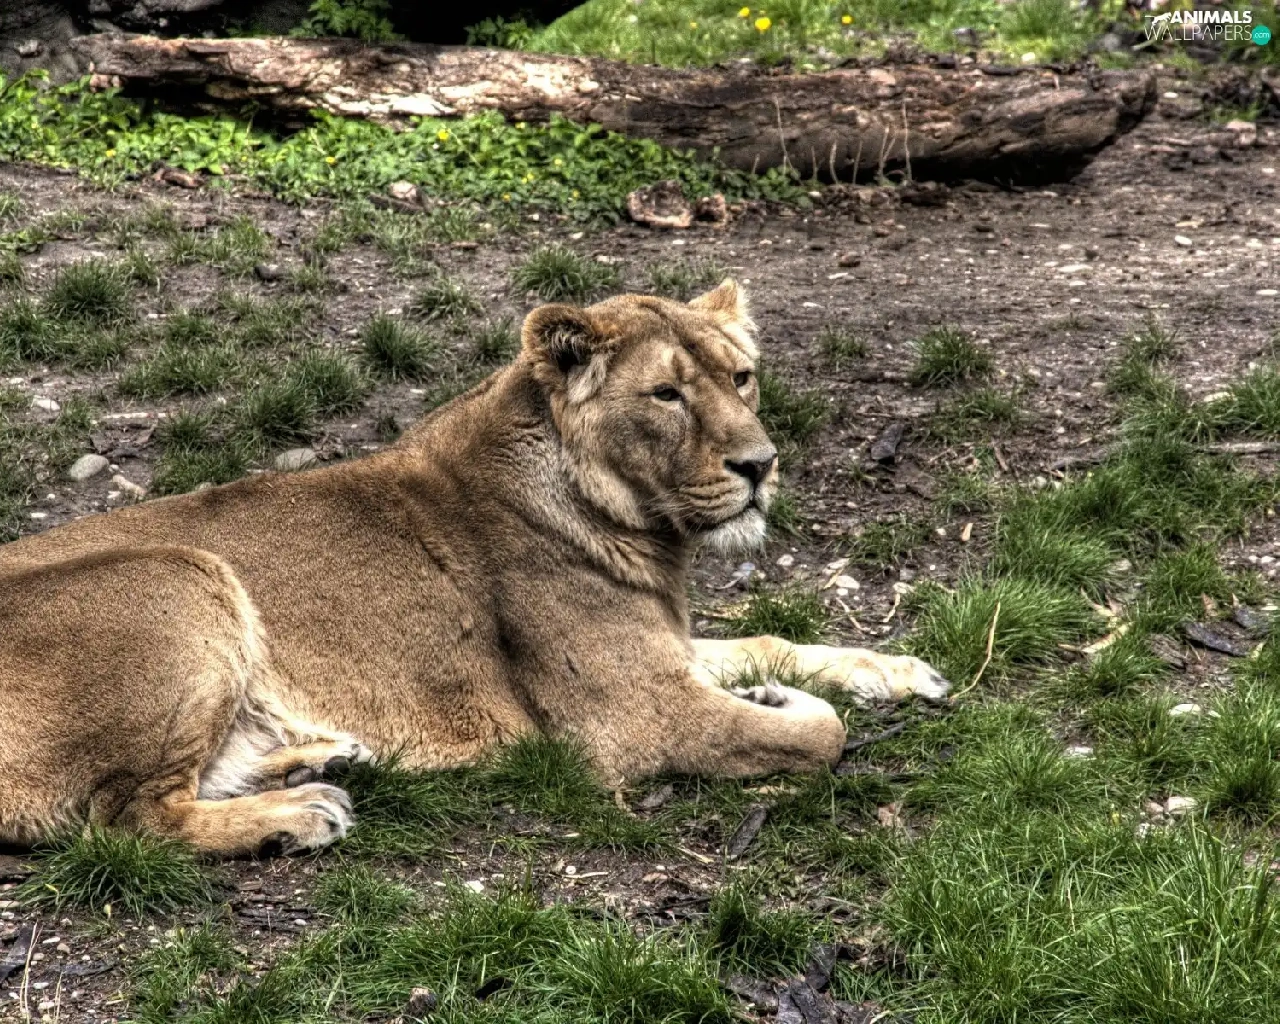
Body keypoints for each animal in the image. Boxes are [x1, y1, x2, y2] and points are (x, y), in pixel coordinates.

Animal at [0, 281, 948, 857]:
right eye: (667, 395)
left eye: (742, 377)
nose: (761, 464)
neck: (647, 529)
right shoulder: (633, 719)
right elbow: (817, 736)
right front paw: (783, 704)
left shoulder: (665, 651)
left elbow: (774, 640)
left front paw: (899, 670)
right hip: (180, 573)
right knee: (126, 817)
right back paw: (302, 812)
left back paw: (326, 761)